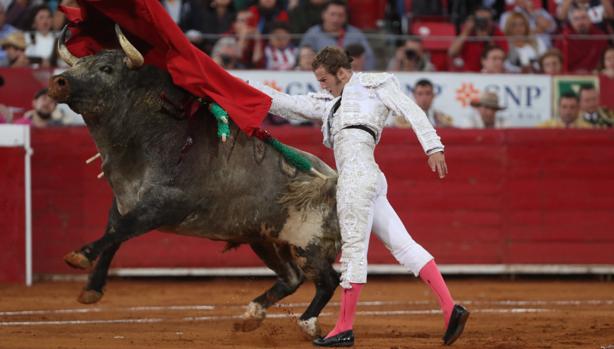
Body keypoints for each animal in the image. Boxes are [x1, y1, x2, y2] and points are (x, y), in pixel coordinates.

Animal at [48, 25, 344, 338]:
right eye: (78, 64)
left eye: (106, 68)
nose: (58, 82)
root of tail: (332, 176)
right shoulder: (123, 204)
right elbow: (115, 234)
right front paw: (92, 288)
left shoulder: (164, 205)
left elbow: (121, 231)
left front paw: (80, 255)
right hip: (264, 239)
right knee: (291, 278)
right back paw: (251, 315)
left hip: (308, 244)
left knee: (328, 281)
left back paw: (308, 323)